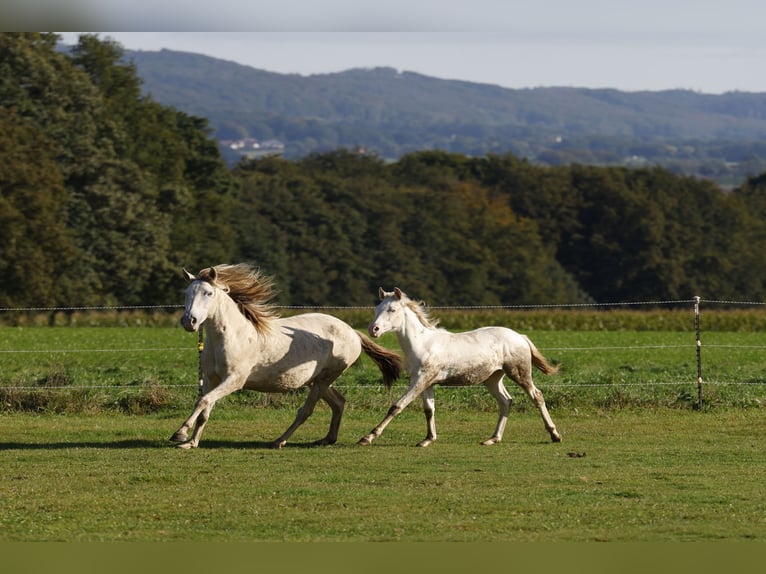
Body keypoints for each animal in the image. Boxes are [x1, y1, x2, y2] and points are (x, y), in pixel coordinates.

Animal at [172, 264, 402, 450]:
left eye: (208, 293)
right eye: (186, 292)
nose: (189, 321)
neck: (232, 336)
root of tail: (352, 331)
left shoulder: (233, 381)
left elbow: (204, 401)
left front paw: (180, 433)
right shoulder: (212, 379)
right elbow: (204, 408)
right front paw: (191, 442)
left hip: (324, 379)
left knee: (306, 410)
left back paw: (279, 441)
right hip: (317, 381)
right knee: (338, 402)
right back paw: (327, 439)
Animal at [360, 290, 564, 448]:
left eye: (392, 309)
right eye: (376, 309)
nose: (373, 329)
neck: (423, 344)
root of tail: (520, 336)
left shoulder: (420, 380)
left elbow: (397, 406)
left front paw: (368, 437)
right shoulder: (426, 382)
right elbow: (429, 410)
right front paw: (427, 439)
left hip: (520, 374)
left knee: (537, 396)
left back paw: (555, 435)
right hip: (493, 378)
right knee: (506, 401)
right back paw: (493, 439)